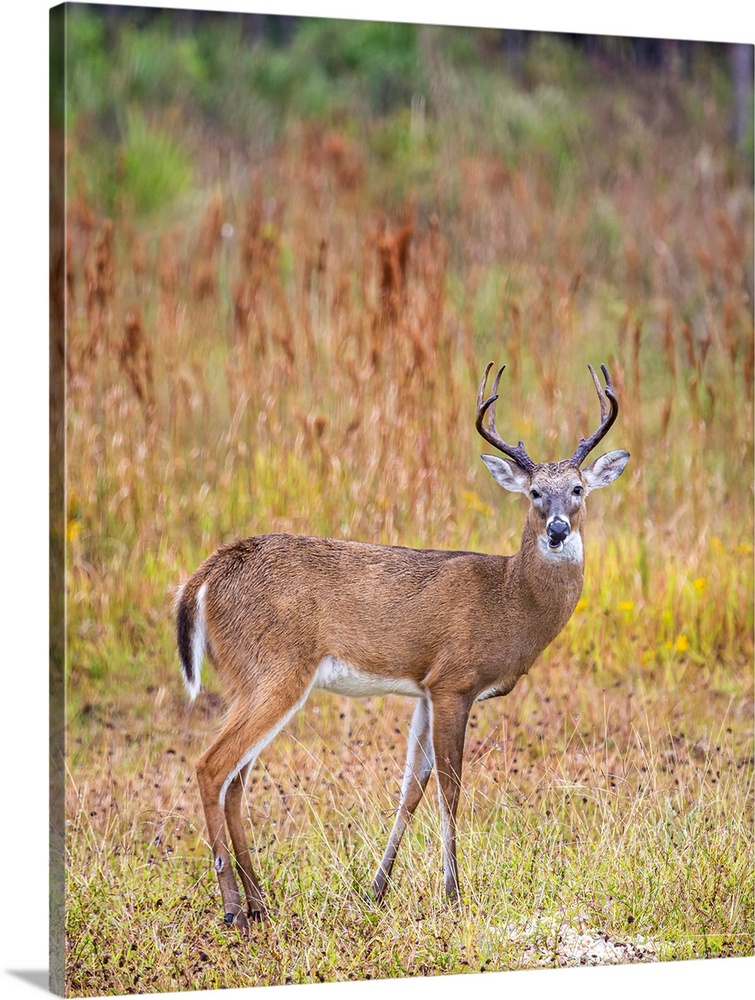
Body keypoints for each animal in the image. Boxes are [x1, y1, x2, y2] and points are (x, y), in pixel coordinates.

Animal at [175, 362, 629, 933]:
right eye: (533, 494)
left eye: (577, 488)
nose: (558, 530)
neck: (509, 599)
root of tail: (207, 574)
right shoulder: (455, 681)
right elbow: (451, 787)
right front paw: (454, 894)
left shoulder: (425, 689)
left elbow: (411, 787)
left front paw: (377, 889)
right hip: (274, 670)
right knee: (212, 766)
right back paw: (234, 906)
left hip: (252, 678)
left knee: (235, 780)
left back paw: (260, 902)